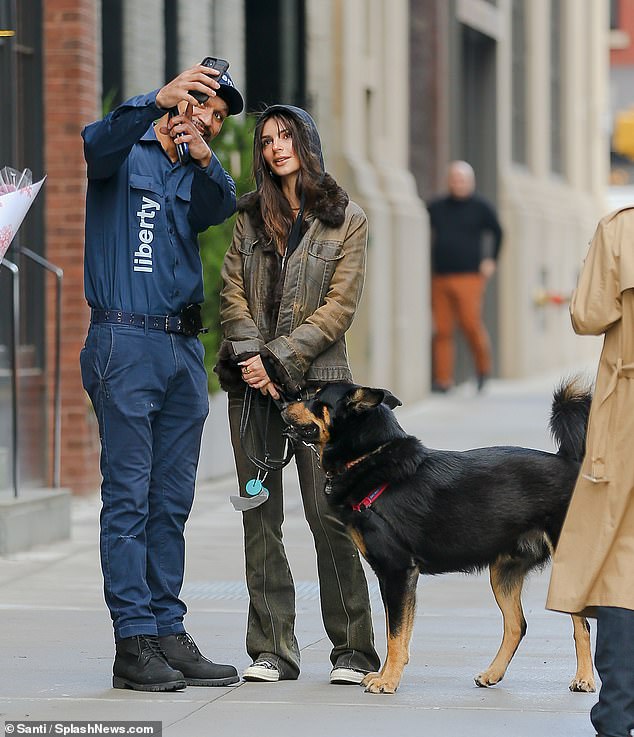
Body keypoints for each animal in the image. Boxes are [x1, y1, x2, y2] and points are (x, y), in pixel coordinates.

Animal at [282, 376, 592, 692]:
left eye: (316, 397)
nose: (282, 404)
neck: (370, 458)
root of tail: (569, 462)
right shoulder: (393, 577)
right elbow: (397, 631)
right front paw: (385, 674)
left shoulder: (398, 572)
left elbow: (395, 635)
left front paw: (388, 680)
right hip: (503, 572)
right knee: (517, 625)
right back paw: (493, 673)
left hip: (566, 565)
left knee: (583, 624)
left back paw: (584, 678)